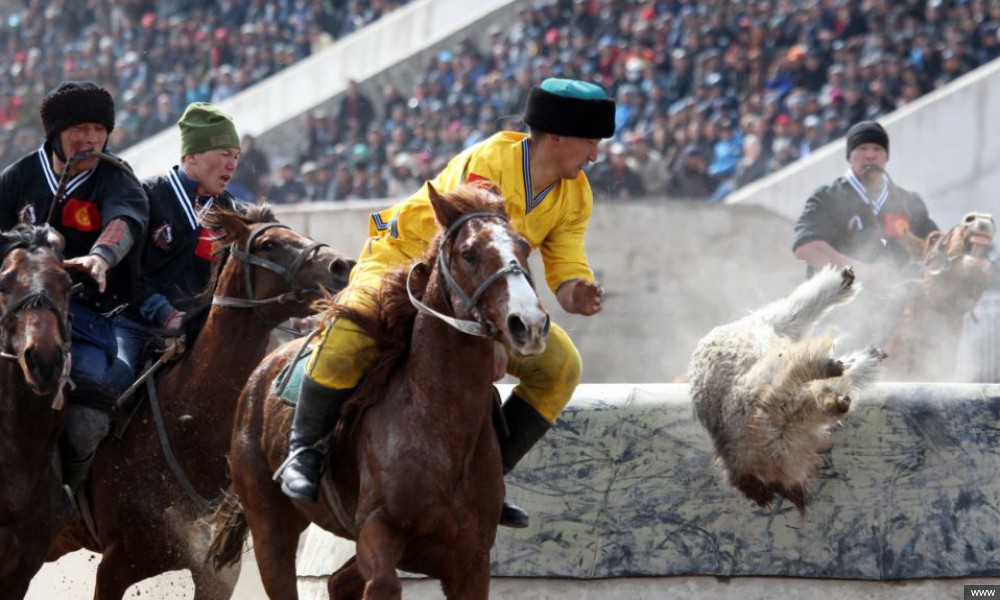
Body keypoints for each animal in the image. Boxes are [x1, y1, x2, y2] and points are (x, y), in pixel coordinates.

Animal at [212, 185, 552, 596]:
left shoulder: (471, 561)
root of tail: (260, 373)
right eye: (469, 253)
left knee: (337, 582)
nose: (528, 324)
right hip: (270, 528)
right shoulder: (378, 532)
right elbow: (385, 584)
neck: (440, 423)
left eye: (523, 247)